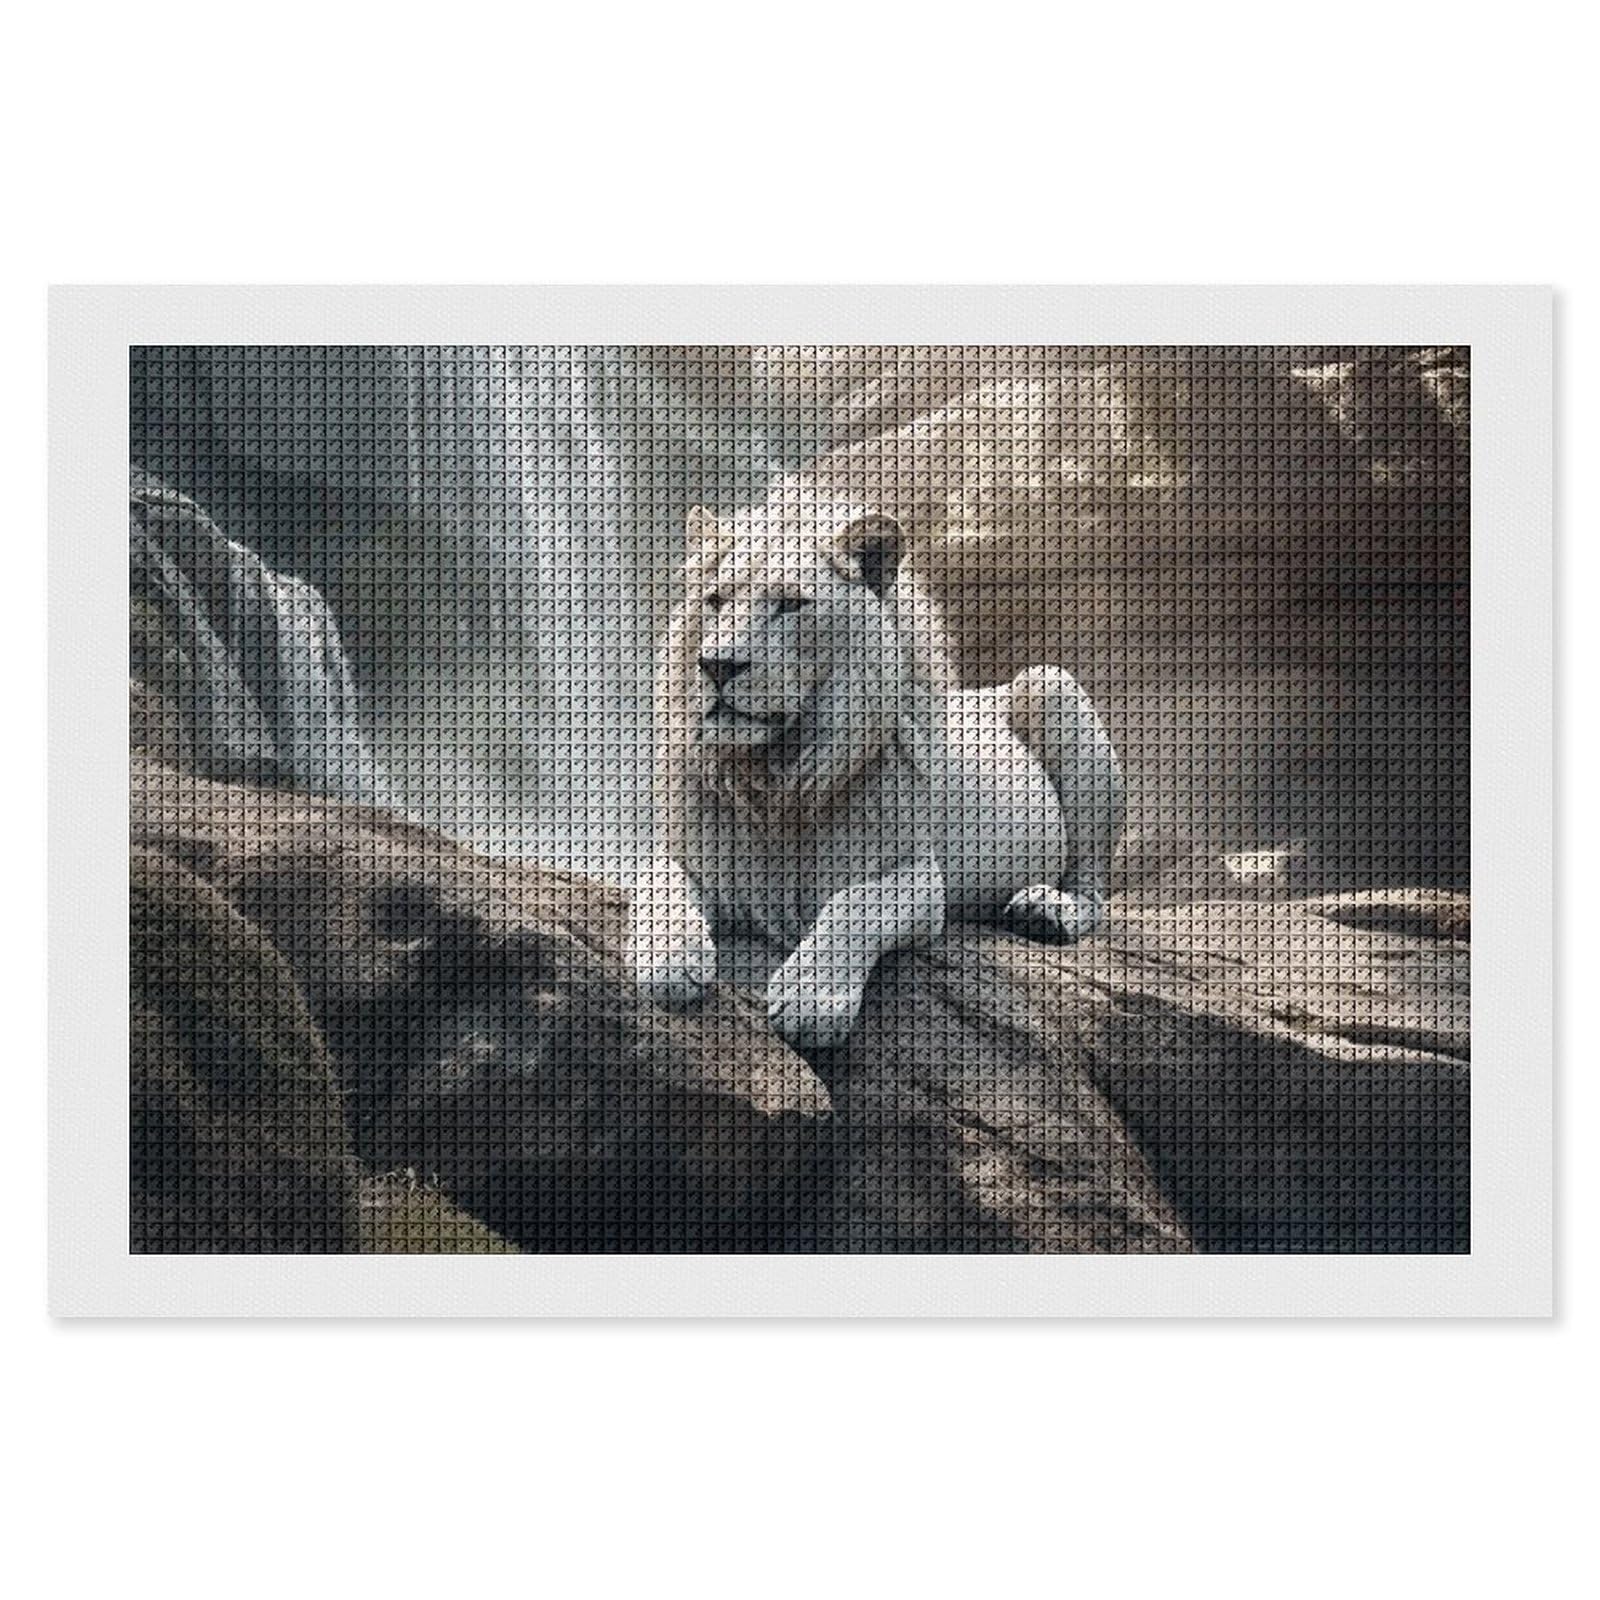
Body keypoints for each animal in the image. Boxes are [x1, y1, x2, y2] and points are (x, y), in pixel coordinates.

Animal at [629, 497, 1126, 1051]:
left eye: (790, 604)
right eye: (714, 600)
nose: (715, 665)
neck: (778, 780)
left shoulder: (915, 875)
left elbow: (853, 906)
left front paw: (810, 1000)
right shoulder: (694, 858)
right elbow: (655, 880)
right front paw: (671, 964)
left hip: (1052, 686)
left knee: (1092, 888)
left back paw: (1047, 909)